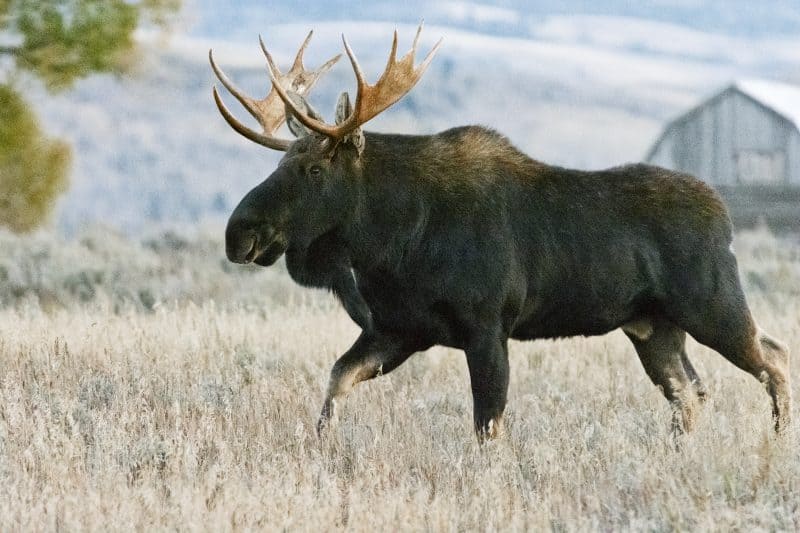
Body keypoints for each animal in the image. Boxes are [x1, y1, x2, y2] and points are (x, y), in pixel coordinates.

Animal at [209, 26, 792, 440]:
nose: (239, 233)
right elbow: (336, 381)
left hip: (712, 304)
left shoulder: (487, 325)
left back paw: (779, 440)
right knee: (691, 392)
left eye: (313, 170)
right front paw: (323, 446)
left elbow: (488, 425)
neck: (390, 241)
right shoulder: (399, 327)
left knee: (774, 358)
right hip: (653, 326)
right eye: (283, 160)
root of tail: (724, 215)